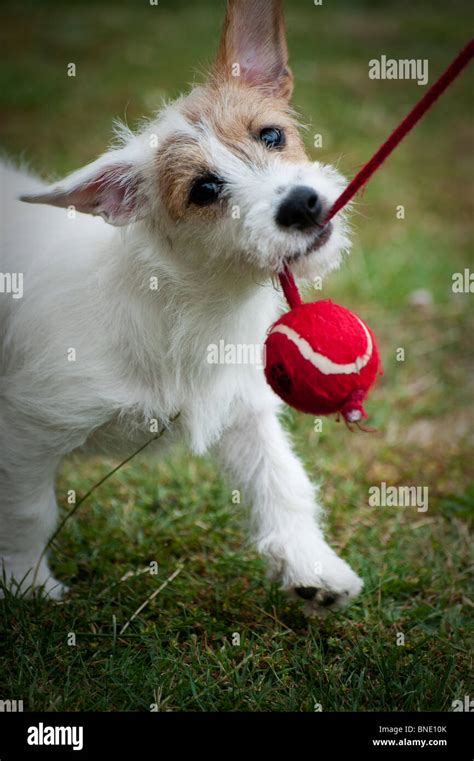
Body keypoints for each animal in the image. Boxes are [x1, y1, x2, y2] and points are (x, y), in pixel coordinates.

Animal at [0, 0, 362, 616]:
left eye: (271, 135)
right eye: (204, 190)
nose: (302, 204)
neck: (194, 304)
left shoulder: (244, 409)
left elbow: (281, 481)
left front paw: (313, 566)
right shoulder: (27, 427)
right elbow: (28, 512)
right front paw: (28, 587)